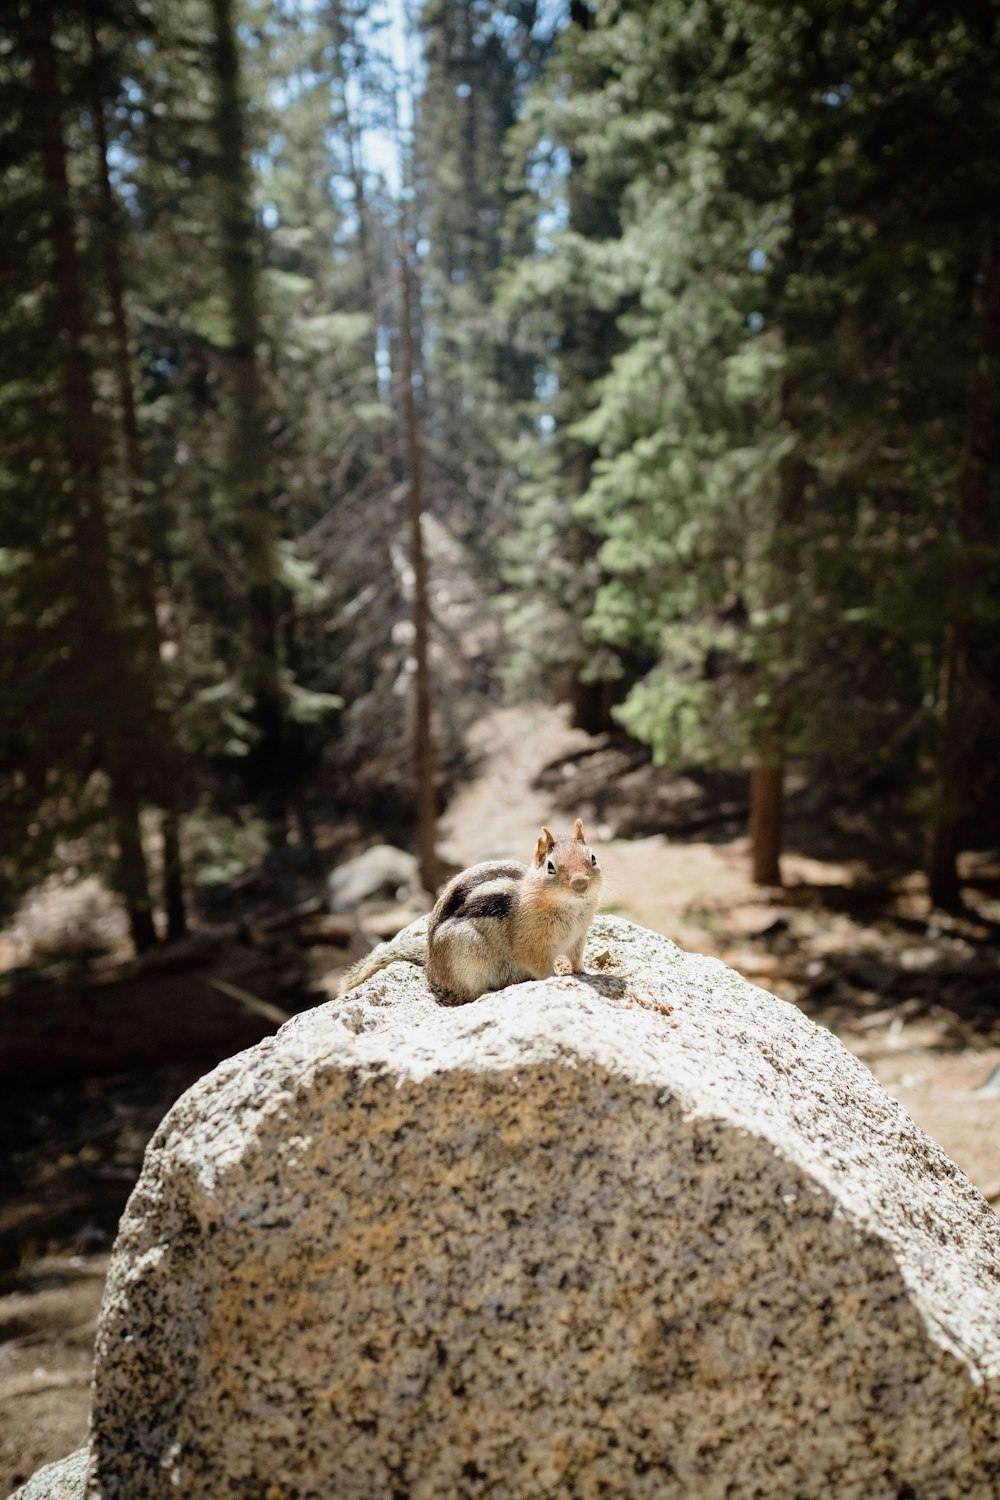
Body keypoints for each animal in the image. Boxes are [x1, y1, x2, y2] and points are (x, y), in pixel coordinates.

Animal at [340, 822, 602, 1008]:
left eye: (593, 858)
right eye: (550, 867)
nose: (580, 883)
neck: (570, 909)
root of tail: (431, 965)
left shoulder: (578, 937)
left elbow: (576, 959)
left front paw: (585, 972)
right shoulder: (531, 945)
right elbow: (541, 969)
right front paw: (556, 977)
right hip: (466, 958)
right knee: (469, 994)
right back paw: (488, 992)